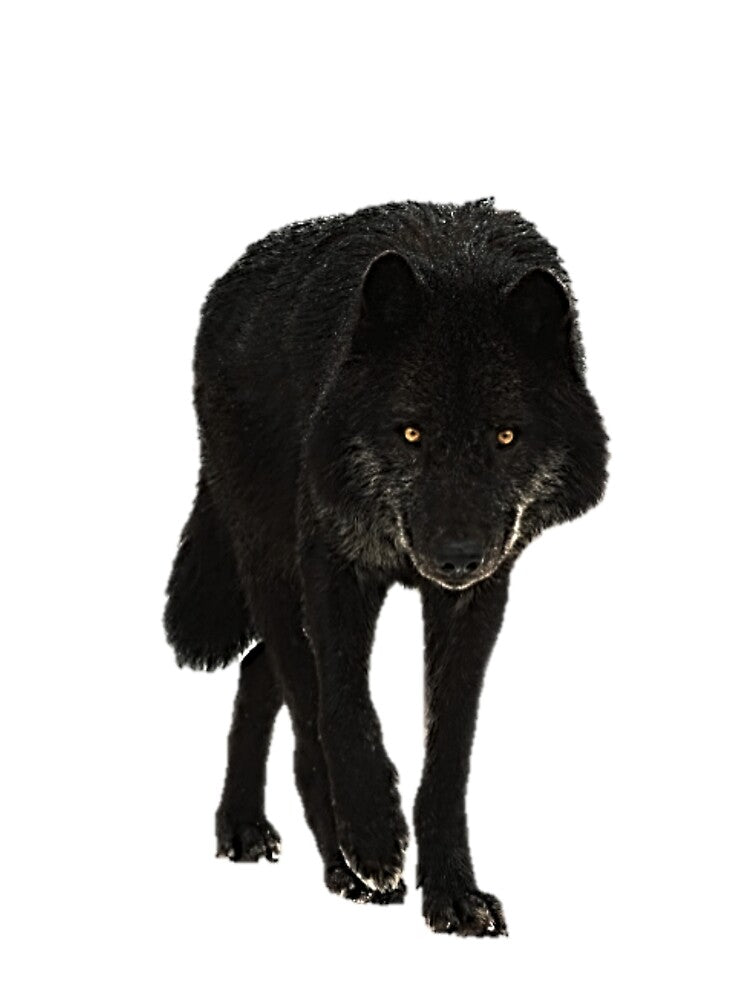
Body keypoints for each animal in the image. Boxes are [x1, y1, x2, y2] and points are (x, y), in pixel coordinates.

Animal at [164, 197, 609, 936]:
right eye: (411, 433)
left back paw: (249, 826)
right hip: (272, 566)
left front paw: (454, 894)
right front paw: (372, 841)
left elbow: (448, 754)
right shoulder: (334, 567)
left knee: (259, 671)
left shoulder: (478, 597)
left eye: (505, 436)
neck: (459, 265)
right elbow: (341, 712)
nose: (457, 555)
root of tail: (226, 286)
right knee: (296, 697)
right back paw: (326, 857)